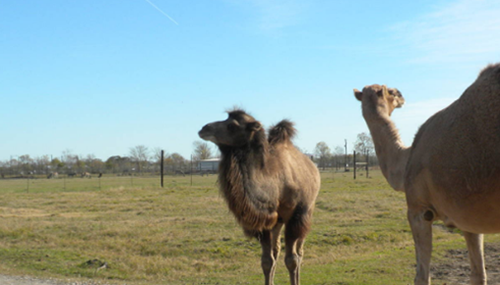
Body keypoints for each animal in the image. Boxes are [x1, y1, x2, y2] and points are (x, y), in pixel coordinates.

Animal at [197, 108, 318, 284]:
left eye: (232, 125)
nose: (204, 128)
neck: (275, 183)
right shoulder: (263, 221)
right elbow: (267, 261)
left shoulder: (294, 217)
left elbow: (292, 260)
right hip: (277, 221)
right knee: (276, 250)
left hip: (307, 212)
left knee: (299, 252)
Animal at [354, 62, 500, 284]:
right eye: (390, 92)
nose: (401, 93)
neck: (406, 159)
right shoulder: (468, 218)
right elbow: (478, 274)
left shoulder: (419, 210)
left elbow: (421, 277)